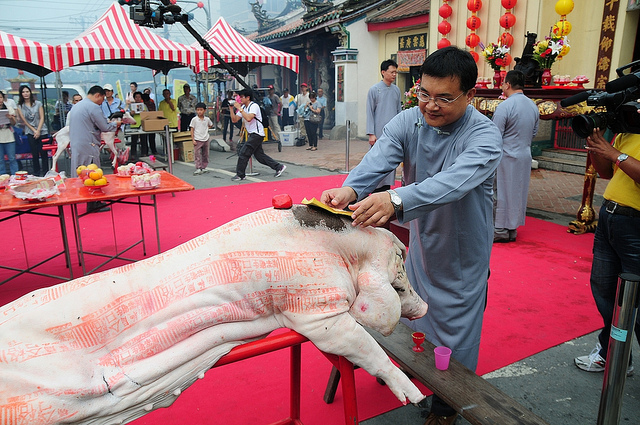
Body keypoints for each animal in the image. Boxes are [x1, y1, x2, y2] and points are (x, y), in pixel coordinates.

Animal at [2, 204, 430, 422]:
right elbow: (367, 347)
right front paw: (414, 399)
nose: (425, 306)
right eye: (401, 260)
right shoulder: (316, 306)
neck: (345, 251)